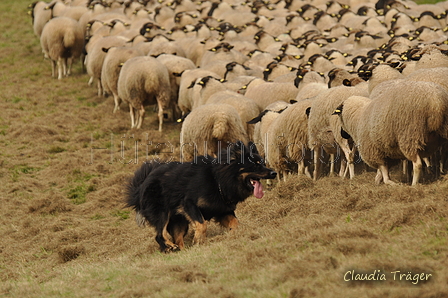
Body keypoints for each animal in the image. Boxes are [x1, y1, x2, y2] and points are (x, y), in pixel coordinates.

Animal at [124, 141, 274, 253]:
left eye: (263, 162)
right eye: (256, 165)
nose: (274, 173)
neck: (217, 179)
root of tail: (140, 187)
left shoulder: (223, 211)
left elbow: (235, 223)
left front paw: (234, 234)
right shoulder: (189, 204)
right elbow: (202, 224)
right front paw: (198, 241)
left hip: (179, 222)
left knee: (177, 238)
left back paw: (183, 251)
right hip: (162, 214)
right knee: (159, 235)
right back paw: (170, 247)